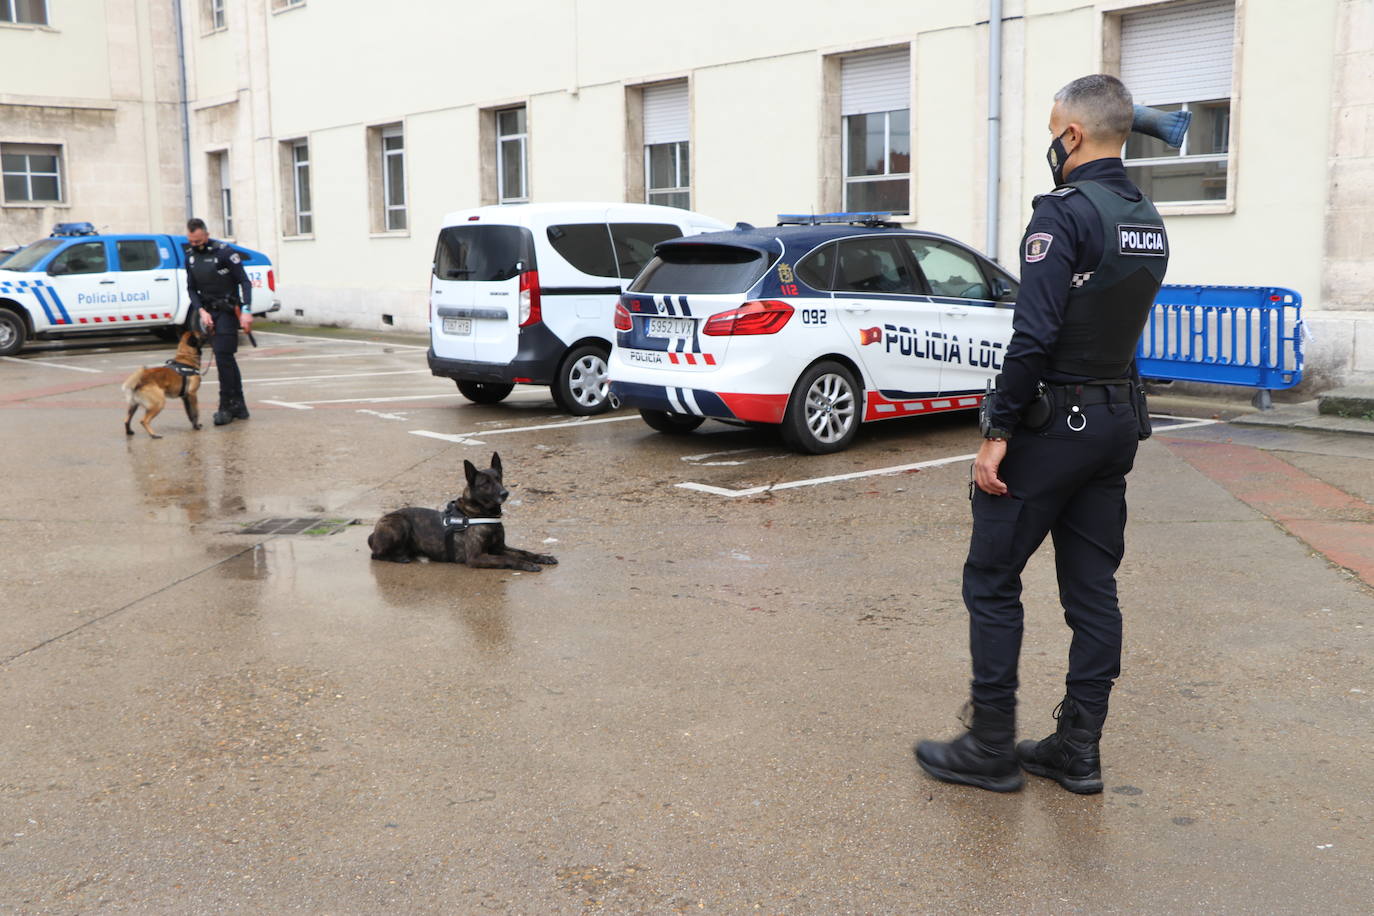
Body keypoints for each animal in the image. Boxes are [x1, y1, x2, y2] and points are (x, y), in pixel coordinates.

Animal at [370, 453, 557, 574]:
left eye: (499, 478)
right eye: (485, 483)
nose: (505, 493)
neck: (479, 513)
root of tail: (373, 532)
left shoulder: (499, 548)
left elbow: (524, 552)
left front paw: (542, 557)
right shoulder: (476, 557)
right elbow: (508, 559)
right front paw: (526, 564)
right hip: (400, 523)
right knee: (376, 554)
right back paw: (400, 557)